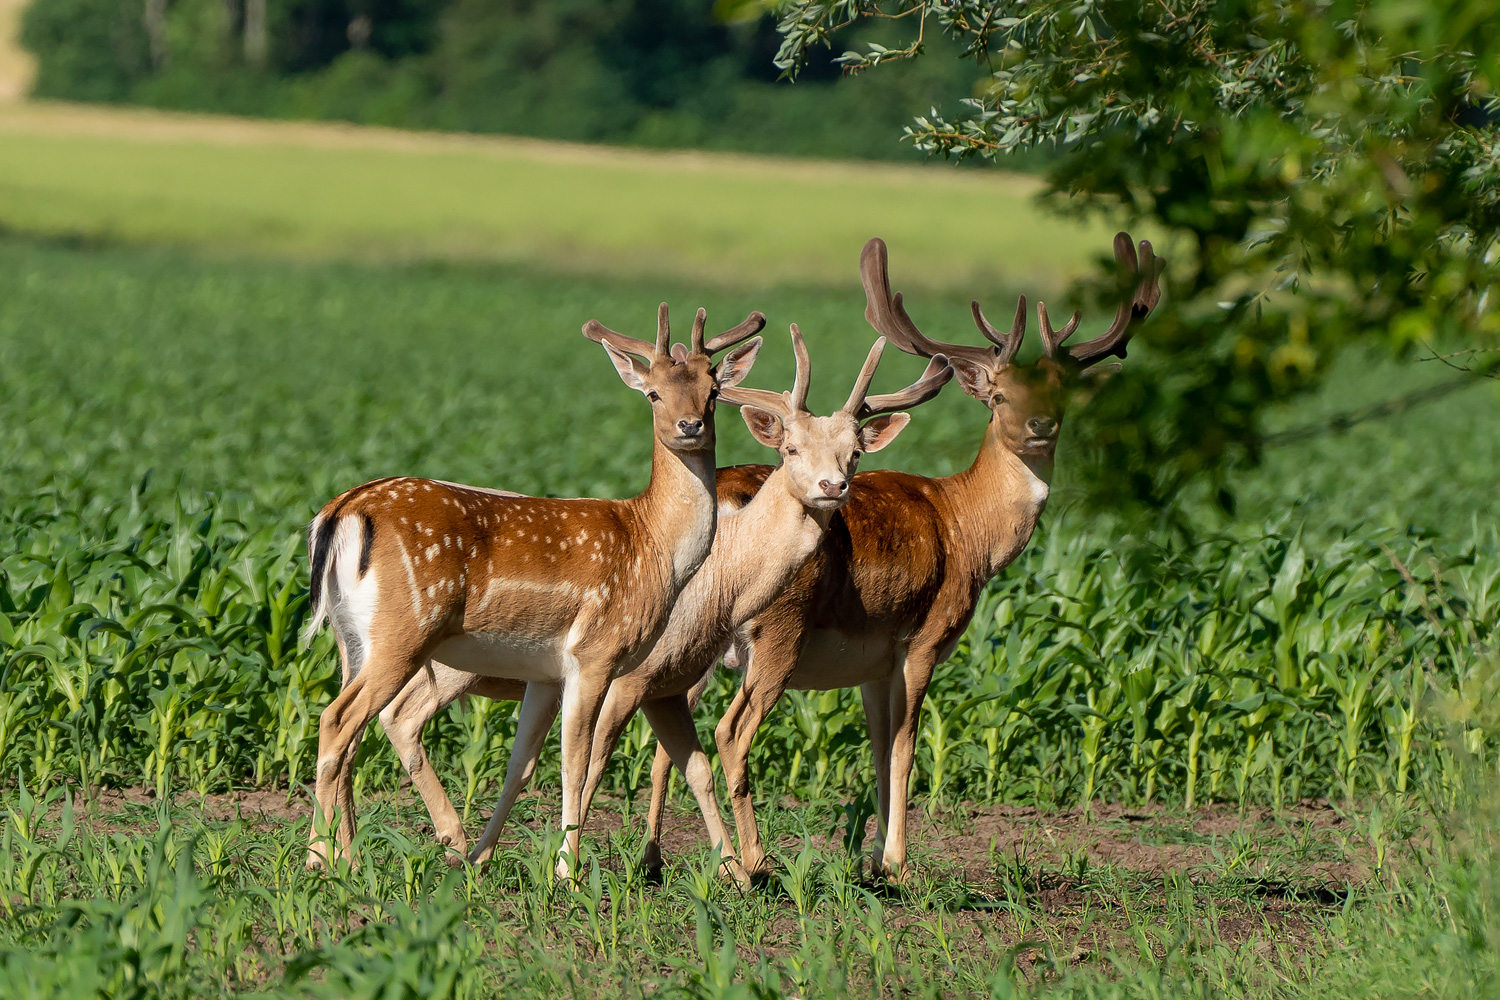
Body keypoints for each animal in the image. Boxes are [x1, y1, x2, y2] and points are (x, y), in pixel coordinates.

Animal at [366, 328, 948, 881]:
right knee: (398, 714)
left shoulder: (665, 679)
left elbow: (687, 764)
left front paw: (720, 868)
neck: (721, 584)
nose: (834, 486)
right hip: (445, 660)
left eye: (855, 452)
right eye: (791, 449)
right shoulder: (624, 674)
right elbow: (594, 761)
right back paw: (450, 844)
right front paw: (575, 864)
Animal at [639, 230, 1164, 881]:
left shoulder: (873, 660)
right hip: (779, 629)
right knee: (730, 732)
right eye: (998, 395)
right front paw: (898, 863)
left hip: (699, 638)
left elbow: (878, 744)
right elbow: (906, 745)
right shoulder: (925, 637)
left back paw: (656, 859)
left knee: (666, 733)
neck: (966, 525)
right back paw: (756, 864)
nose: (1040, 425)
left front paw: (871, 860)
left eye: (1059, 390)